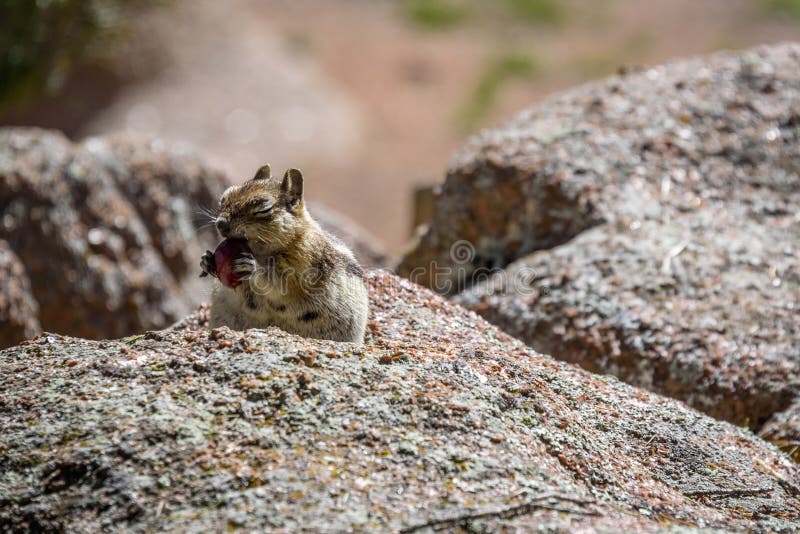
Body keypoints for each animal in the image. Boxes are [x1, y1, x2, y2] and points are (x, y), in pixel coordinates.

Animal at [203, 165, 372, 346]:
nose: (221, 224)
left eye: (263, 209)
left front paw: (252, 267)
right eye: (224, 198)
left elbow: (280, 284)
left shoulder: (304, 262)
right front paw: (207, 261)